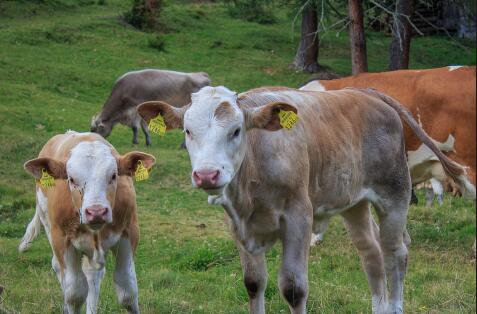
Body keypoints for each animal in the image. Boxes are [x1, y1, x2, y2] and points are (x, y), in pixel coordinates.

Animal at [19, 131, 154, 314]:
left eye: (113, 176)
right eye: (71, 179)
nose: (96, 212)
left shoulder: (129, 232)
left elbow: (127, 290)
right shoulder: (62, 239)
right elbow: (75, 293)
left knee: (92, 274)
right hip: (47, 223)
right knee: (60, 269)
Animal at [138, 86, 464, 314]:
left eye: (236, 130)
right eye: (188, 131)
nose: (207, 175)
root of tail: (365, 92)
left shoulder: (298, 217)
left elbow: (294, 288)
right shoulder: (238, 227)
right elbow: (253, 283)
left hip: (394, 195)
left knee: (395, 253)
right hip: (354, 203)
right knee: (371, 254)